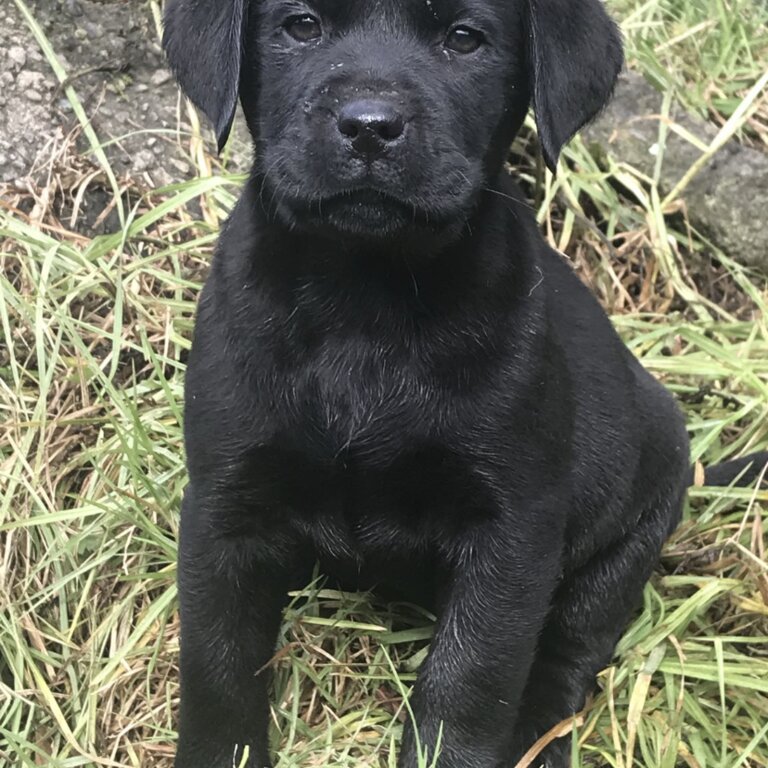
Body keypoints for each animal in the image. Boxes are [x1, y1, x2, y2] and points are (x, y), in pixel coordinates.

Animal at [162, 0, 768, 764]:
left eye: (463, 39)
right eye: (300, 27)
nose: (370, 125)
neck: (365, 301)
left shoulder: (512, 532)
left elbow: (469, 682)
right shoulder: (224, 507)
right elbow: (217, 668)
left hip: (628, 537)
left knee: (570, 652)